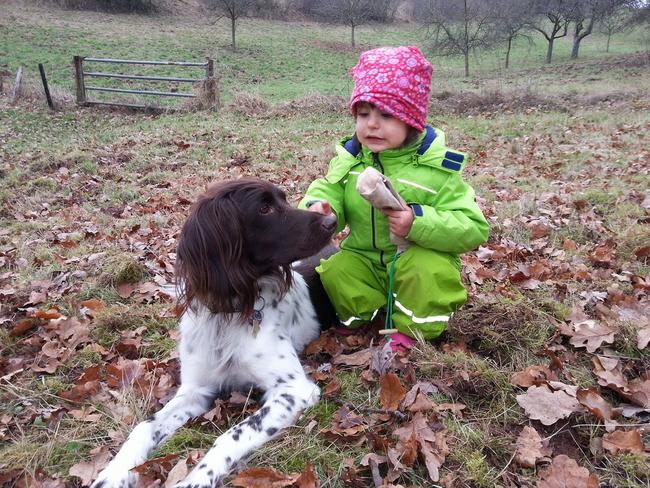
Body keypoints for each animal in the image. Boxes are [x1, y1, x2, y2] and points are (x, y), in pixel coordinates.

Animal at [93, 179, 336, 488]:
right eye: (265, 209)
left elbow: (230, 435)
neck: (230, 311)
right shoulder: (195, 389)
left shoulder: (293, 390)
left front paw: (196, 479)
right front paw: (114, 472)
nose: (332, 220)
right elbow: (144, 425)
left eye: (281, 200)